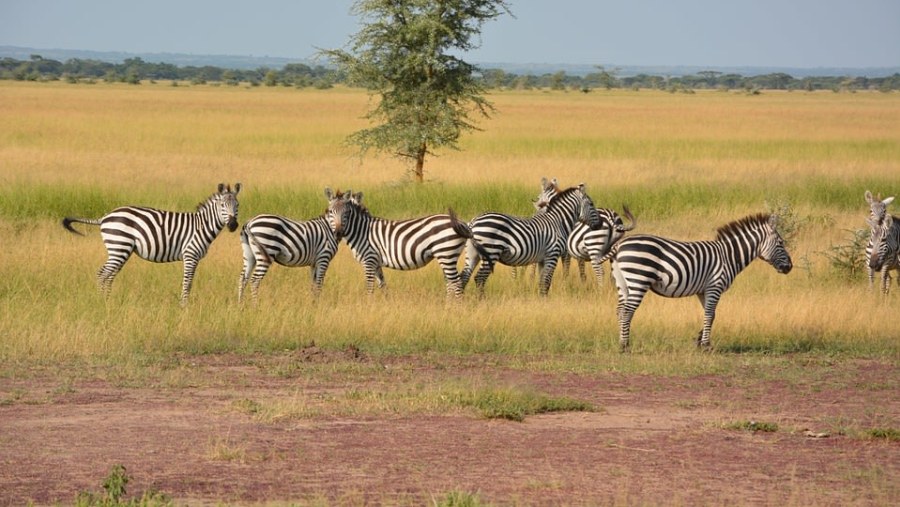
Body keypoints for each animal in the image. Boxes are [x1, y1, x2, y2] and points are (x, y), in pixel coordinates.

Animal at [62, 185, 243, 308]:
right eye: (222, 205)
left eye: (238, 205)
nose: (233, 225)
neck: (202, 225)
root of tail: (105, 217)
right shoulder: (190, 255)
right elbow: (187, 282)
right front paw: (184, 306)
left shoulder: (193, 257)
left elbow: (188, 281)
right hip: (119, 246)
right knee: (102, 274)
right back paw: (103, 302)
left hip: (120, 250)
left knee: (109, 275)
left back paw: (108, 300)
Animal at [320, 189, 482, 300]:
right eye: (330, 212)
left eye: (346, 213)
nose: (338, 233)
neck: (361, 230)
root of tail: (462, 223)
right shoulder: (376, 262)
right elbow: (383, 285)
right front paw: (386, 304)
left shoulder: (369, 260)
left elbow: (370, 287)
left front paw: (368, 304)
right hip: (446, 256)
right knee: (451, 282)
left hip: (446, 253)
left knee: (457, 282)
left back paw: (455, 309)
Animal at [460, 184, 600, 298]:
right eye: (591, 204)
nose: (599, 225)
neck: (558, 221)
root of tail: (473, 222)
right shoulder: (552, 255)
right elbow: (546, 281)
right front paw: (545, 302)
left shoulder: (542, 259)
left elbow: (541, 281)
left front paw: (541, 300)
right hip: (491, 252)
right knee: (479, 278)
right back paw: (481, 300)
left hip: (473, 254)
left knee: (464, 277)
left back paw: (460, 302)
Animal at [604, 212, 796, 352]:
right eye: (781, 243)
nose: (790, 267)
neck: (728, 256)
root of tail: (620, 245)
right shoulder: (715, 286)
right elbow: (710, 314)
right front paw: (706, 345)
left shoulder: (703, 290)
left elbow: (711, 315)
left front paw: (699, 340)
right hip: (639, 280)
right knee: (627, 312)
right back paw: (625, 346)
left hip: (623, 283)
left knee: (620, 310)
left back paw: (621, 342)